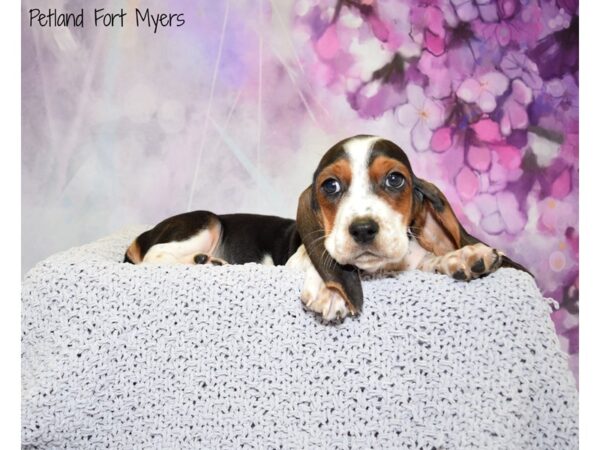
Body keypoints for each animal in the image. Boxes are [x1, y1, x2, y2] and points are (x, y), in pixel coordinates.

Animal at [124, 135, 528, 322]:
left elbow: (429, 261)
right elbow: (326, 262)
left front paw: (466, 256)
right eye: (330, 186)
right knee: (156, 257)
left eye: (396, 180)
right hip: (204, 221)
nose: (363, 229)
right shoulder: (300, 259)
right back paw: (205, 262)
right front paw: (332, 290)